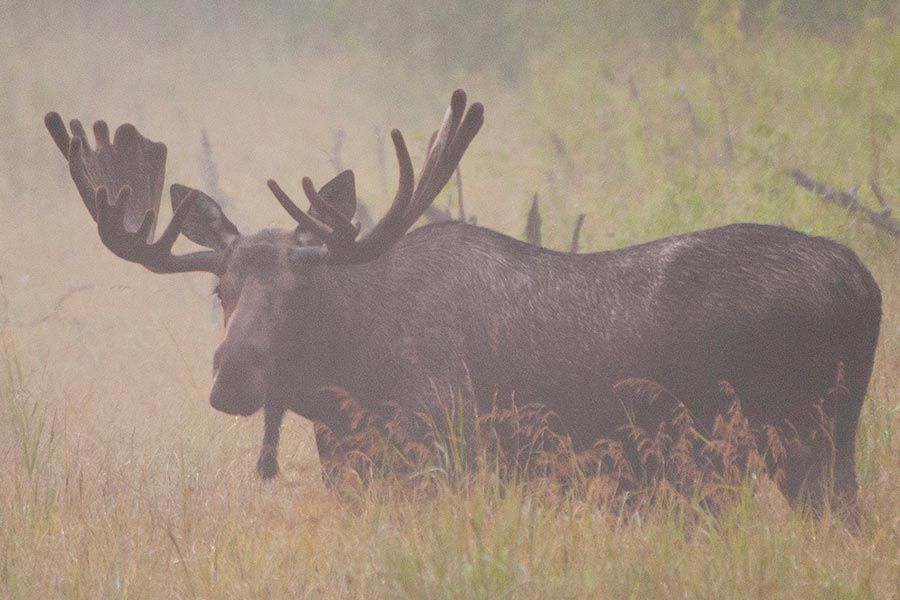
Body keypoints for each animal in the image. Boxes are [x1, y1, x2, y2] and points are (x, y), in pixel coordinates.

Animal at [45, 90, 880, 521]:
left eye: (302, 288)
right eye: (220, 288)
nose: (230, 376)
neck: (345, 389)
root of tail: (865, 285)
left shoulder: (444, 452)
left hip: (803, 438)